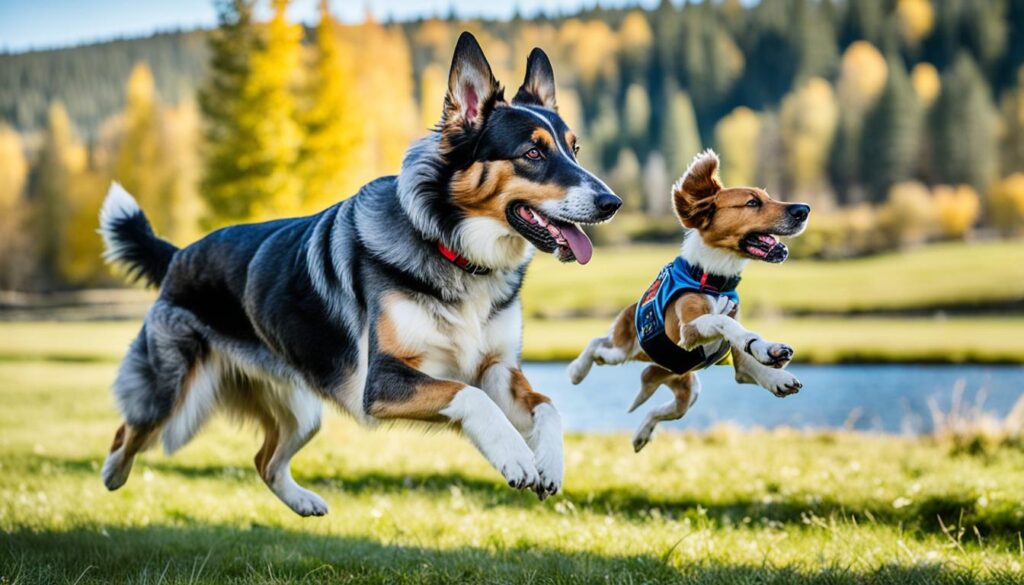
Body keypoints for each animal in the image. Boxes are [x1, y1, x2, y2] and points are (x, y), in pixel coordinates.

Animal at [99, 33, 618, 516]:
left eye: (575, 150)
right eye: (532, 154)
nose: (611, 203)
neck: (451, 247)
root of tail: (179, 254)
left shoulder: (496, 368)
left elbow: (546, 406)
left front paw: (549, 462)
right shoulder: (384, 380)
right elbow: (470, 397)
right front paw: (517, 457)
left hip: (301, 410)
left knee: (264, 461)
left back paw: (303, 502)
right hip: (167, 394)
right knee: (128, 431)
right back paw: (112, 474)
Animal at [569, 150, 806, 452]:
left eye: (768, 196)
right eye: (752, 202)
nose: (804, 210)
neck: (714, 278)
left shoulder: (739, 365)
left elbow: (748, 357)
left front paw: (774, 365)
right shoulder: (686, 330)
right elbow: (723, 321)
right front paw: (763, 350)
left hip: (688, 391)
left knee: (658, 410)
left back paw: (641, 436)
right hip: (623, 347)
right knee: (598, 345)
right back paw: (577, 371)